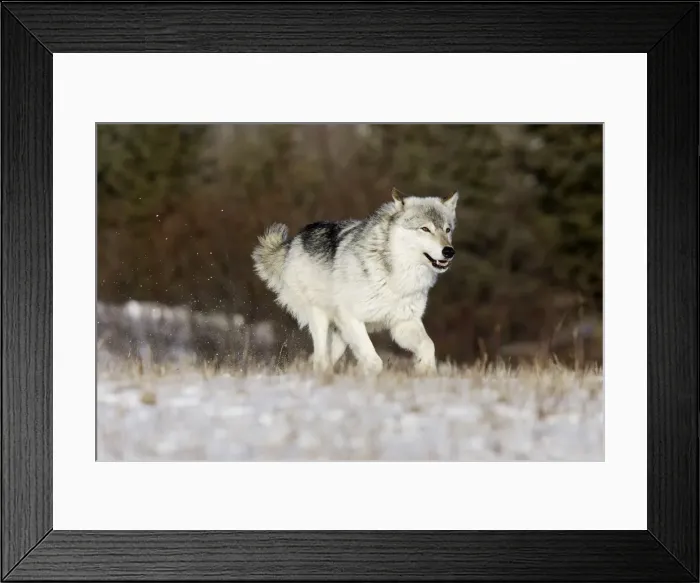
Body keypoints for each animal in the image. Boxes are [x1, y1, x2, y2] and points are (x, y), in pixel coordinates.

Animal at [252, 188, 458, 375]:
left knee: (319, 359)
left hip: (340, 336)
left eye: (447, 230)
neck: (396, 276)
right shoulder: (351, 318)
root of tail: (294, 241)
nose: (449, 251)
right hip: (321, 318)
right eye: (425, 229)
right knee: (320, 359)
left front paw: (424, 370)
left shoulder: (403, 322)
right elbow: (374, 361)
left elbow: (428, 346)